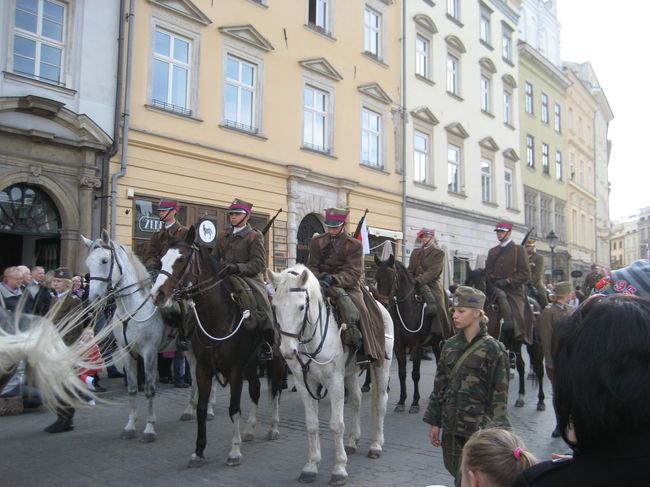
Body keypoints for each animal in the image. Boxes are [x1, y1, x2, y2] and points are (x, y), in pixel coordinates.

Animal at [81, 231, 215, 440]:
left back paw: (209, 411)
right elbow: (132, 389)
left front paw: (149, 428)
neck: (131, 309)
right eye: (88, 262)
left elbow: (150, 390)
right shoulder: (127, 353)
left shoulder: (149, 353)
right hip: (190, 350)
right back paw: (189, 410)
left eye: (104, 260)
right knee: (194, 377)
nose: (92, 299)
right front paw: (130, 426)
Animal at [153, 229, 284, 468]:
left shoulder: (234, 371)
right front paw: (198, 451)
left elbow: (234, 408)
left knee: (276, 391)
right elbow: (201, 408)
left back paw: (273, 428)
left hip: (277, 361)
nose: (157, 294)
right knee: (255, 389)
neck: (218, 316)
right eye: (162, 258)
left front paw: (234, 451)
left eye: (182, 259)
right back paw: (250, 430)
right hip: (251, 364)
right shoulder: (203, 368)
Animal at [266, 266, 392, 487]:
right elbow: (312, 424)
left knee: (380, 404)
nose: (287, 351)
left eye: (301, 307)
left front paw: (339, 468)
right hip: (350, 374)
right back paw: (352, 441)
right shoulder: (304, 383)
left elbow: (336, 425)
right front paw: (311, 466)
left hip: (381, 367)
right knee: (356, 401)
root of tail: (381, 307)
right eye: (275, 307)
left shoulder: (334, 382)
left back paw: (376, 445)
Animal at [372, 254, 448, 414]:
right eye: (376, 277)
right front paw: (401, 401)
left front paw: (414, 402)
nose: (383, 304)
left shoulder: (416, 346)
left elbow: (415, 374)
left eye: (391, 278)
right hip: (435, 343)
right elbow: (402, 373)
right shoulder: (398, 346)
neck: (407, 309)